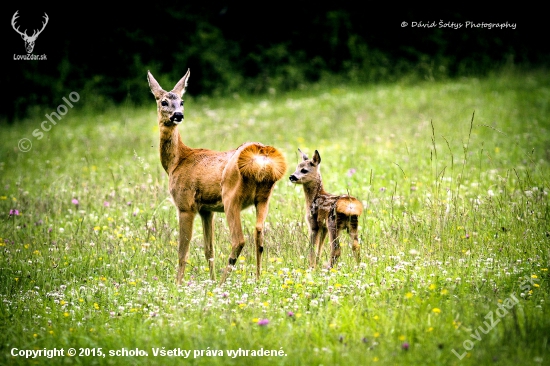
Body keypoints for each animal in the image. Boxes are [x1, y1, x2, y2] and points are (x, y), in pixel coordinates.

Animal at [149, 69, 288, 286]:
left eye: (182, 101)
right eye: (164, 101)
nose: (178, 115)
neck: (176, 162)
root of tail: (262, 155)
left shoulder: (185, 204)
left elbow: (182, 252)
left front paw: (178, 284)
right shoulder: (207, 210)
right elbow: (209, 250)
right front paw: (210, 280)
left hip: (231, 197)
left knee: (239, 240)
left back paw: (224, 282)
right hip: (264, 197)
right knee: (259, 234)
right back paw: (256, 279)